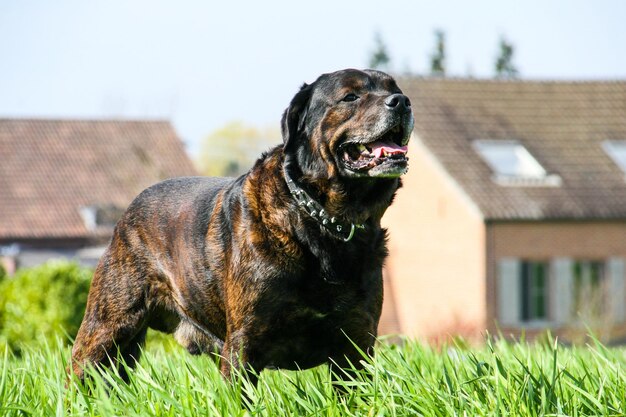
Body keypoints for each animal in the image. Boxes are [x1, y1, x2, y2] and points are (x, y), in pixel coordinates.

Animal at [70, 67, 412, 384]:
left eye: (393, 89)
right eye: (350, 97)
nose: (401, 101)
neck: (326, 221)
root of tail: (125, 214)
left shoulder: (354, 347)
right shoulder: (243, 345)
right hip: (106, 328)